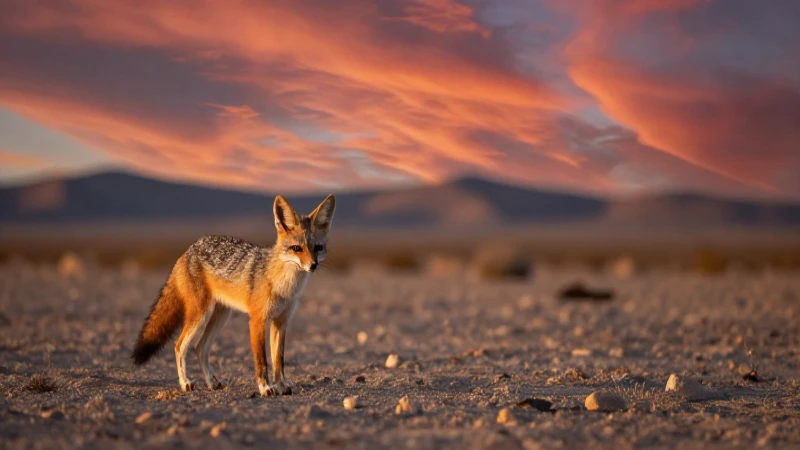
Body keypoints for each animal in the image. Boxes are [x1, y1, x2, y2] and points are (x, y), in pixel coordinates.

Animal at [130, 194, 335, 396]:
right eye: (297, 248)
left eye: (317, 248)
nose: (313, 265)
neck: (284, 286)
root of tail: (190, 248)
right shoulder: (257, 320)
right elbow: (262, 360)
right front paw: (265, 387)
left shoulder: (281, 321)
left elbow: (279, 360)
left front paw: (281, 386)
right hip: (200, 316)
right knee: (180, 345)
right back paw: (185, 383)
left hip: (221, 317)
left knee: (200, 348)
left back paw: (211, 382)